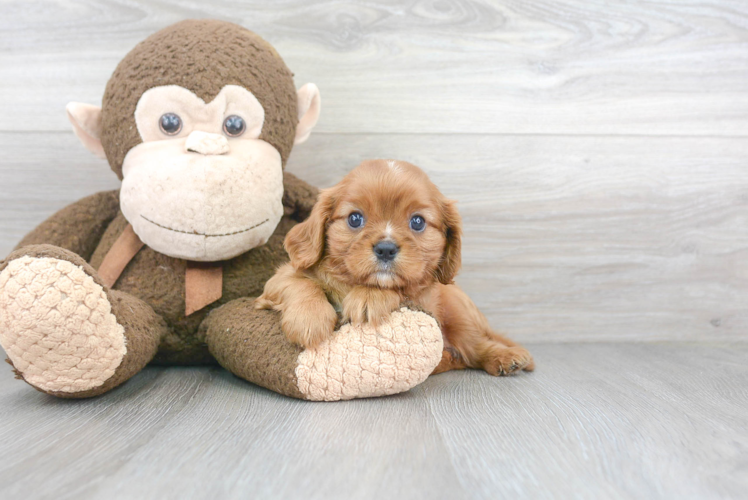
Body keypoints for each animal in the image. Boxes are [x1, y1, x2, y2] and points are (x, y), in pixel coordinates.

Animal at [258, 160, 532, 376]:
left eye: (417, 222)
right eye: (355, 218)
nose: (386, 249)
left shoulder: (423, 300)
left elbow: (401, 289)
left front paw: (370, 297)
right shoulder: (278, 279)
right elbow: (299, 283)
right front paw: (308, 319)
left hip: (458, 312)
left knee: (476, 347)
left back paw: (506, 358)